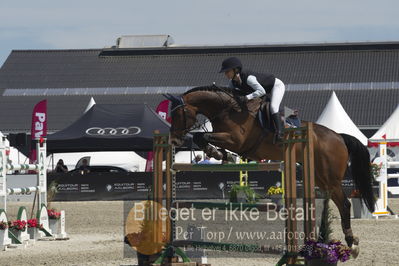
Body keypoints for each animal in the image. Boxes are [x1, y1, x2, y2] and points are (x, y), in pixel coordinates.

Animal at [164, 85, 376, 254]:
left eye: (177, 115)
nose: (173, 141)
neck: (226, 110)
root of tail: (339, 136)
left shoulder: (236, 140)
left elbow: (203, 136)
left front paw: (218, 153)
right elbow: (201, 137)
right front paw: (221, 154)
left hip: (330, 178)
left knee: (345, 204)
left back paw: (351, 242)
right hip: (319, 178)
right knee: (339, 203)